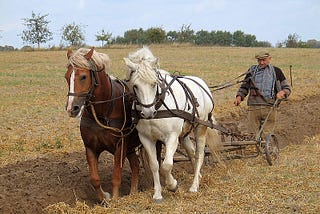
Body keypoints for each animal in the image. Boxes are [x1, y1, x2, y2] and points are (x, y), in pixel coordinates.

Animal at [64, 47, 141, 202]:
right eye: (66, 76)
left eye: (83, 76)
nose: (71, 108)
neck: (102, 111)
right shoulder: (90, 147)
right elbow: (94, 179)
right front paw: (104, 197)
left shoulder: (120, 146)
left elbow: (116, 176)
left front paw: (115, 199)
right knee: (136, 166)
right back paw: (133, 192)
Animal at [123, 46, 220, 202]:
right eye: (135, 86)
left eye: (154, 84)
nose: (148, 112)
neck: (159, 106)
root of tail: (202, 84)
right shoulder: (146, 138)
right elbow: (154, 165)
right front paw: (157, 194)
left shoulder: (172, 137)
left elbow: (167, 165)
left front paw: (172, 185)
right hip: (185, 132)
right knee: (191, 151)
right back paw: (197, 175)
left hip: (201, 128)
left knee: (199, 154)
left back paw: (194, 186)